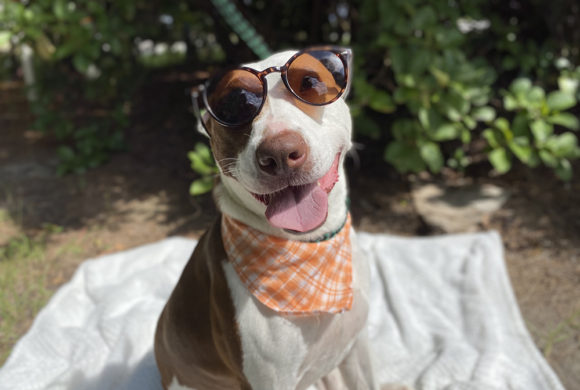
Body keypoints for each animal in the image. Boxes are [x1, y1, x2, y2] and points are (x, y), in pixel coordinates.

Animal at [154, 47, 380, 388]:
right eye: (234, 104)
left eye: (310, 82)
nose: (281, 153)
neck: (309, 247)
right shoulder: (271, 380)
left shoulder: (356, 348)